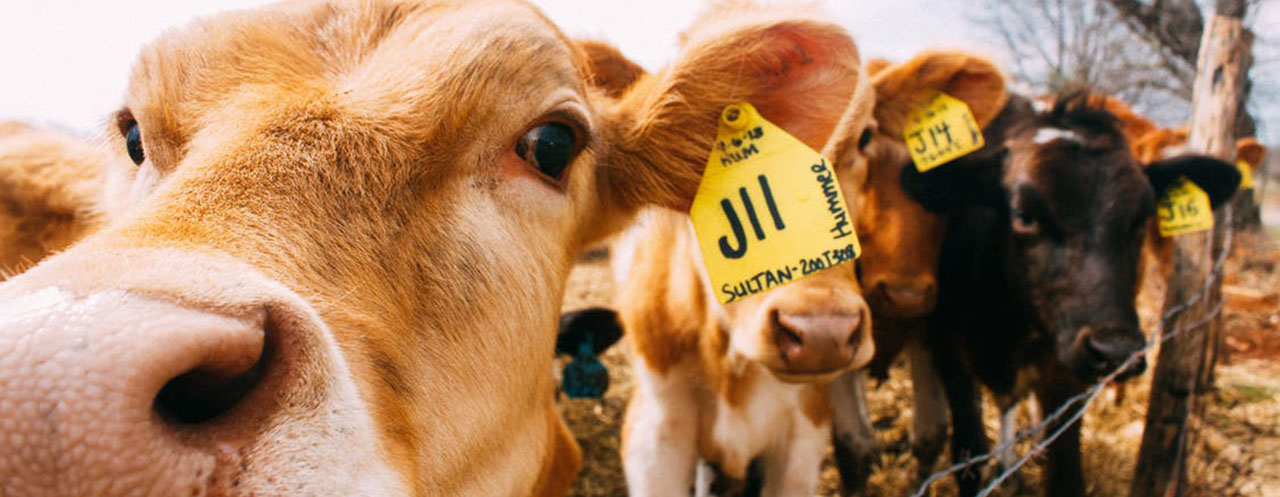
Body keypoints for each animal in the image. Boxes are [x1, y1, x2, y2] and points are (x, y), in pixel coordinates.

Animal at [818, 52, 1010, 496]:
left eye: (946, 167)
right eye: (862, 139)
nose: (905, 294)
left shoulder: (929, 327)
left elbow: (930, 435)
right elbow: (853, 447)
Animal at [898, 92, 1241, 497]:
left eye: (1140, 220)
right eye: (1024, 214)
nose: (1116, 352)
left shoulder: (1062, 371)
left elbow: (1066, 470)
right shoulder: (949, 348)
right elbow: (969, 456)